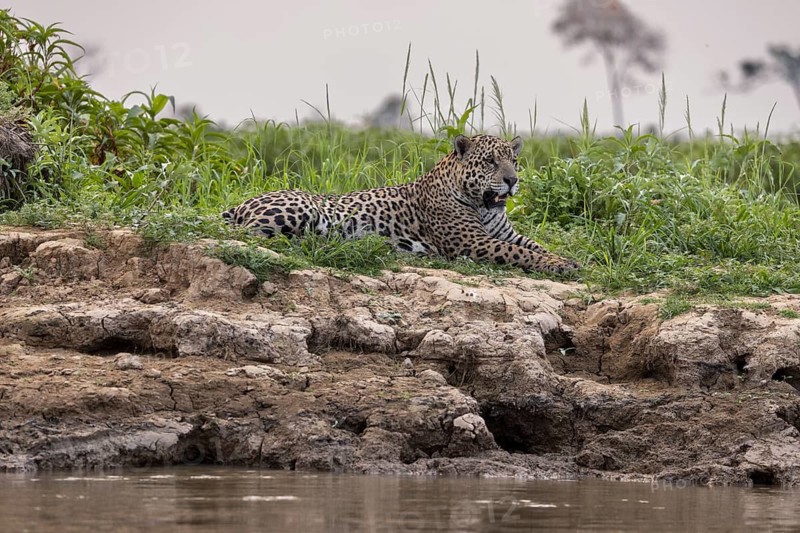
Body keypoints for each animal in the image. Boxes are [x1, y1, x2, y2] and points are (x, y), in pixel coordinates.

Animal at [222, 134, 579, 274]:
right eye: (491, 162)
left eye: (514, 161)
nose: (512, 180)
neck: (482, 204)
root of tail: (241, 203)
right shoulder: (473, 241)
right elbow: (519, 253)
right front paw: (559, 265)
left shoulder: (506, 233)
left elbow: (535, 245)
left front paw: (566, 260)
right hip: (299, 209)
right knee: (252, 236)